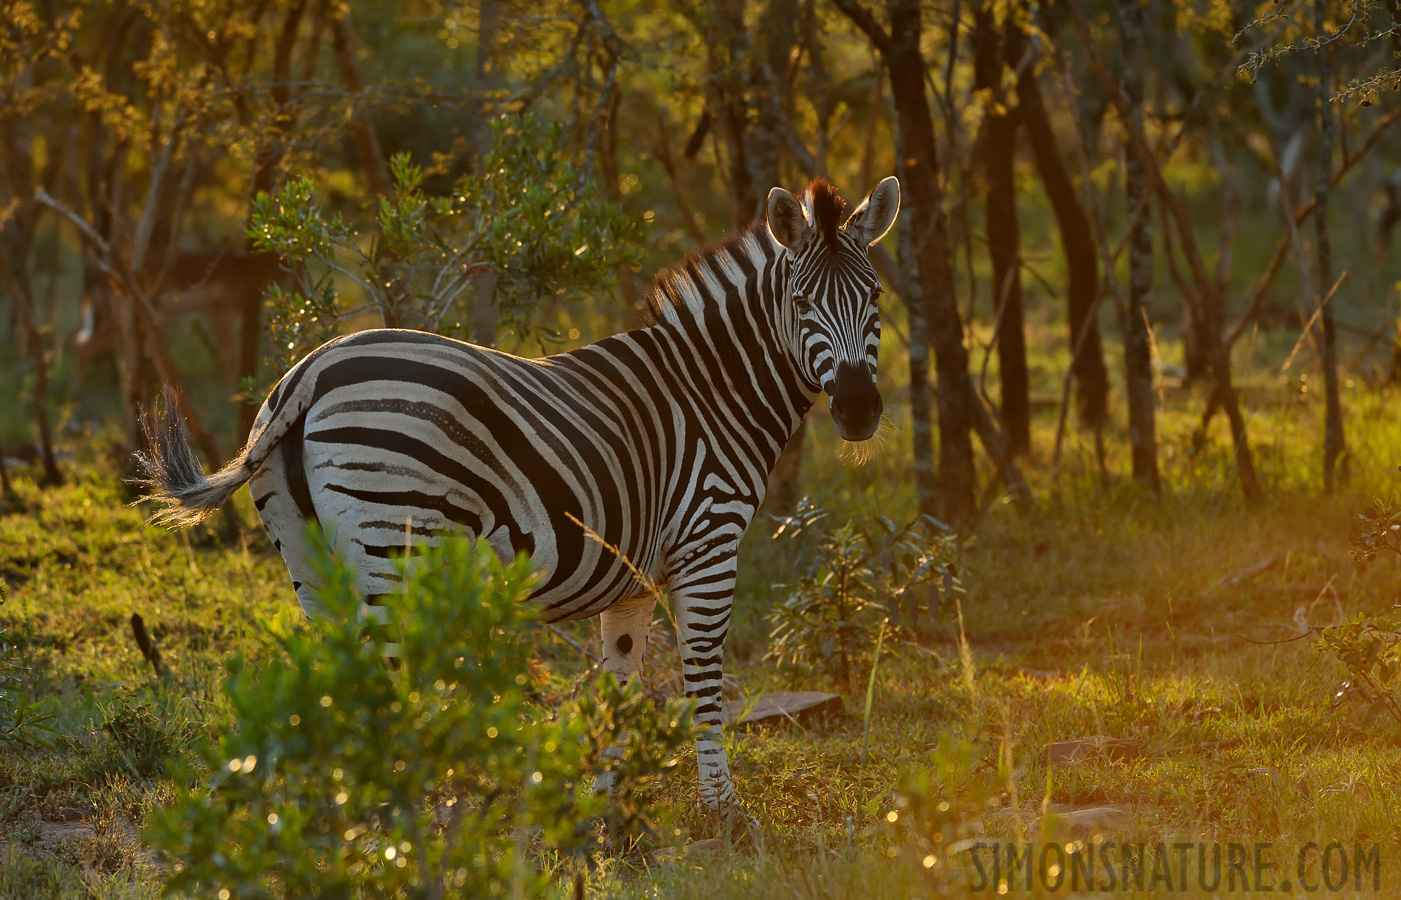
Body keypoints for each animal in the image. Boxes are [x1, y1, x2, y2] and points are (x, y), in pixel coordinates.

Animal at [136, 173, 902, 807]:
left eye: (874, 297)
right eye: (801, 300)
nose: (859, 410)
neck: (713, 389)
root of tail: (309, 372)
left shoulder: (632, 575)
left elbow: (618, 682)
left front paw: (606, 815)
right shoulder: (708, 545)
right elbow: (704, 683)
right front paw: (723, 812)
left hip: (311, 559)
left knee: (334, 683)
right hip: (393, 547)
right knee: (379, 684)